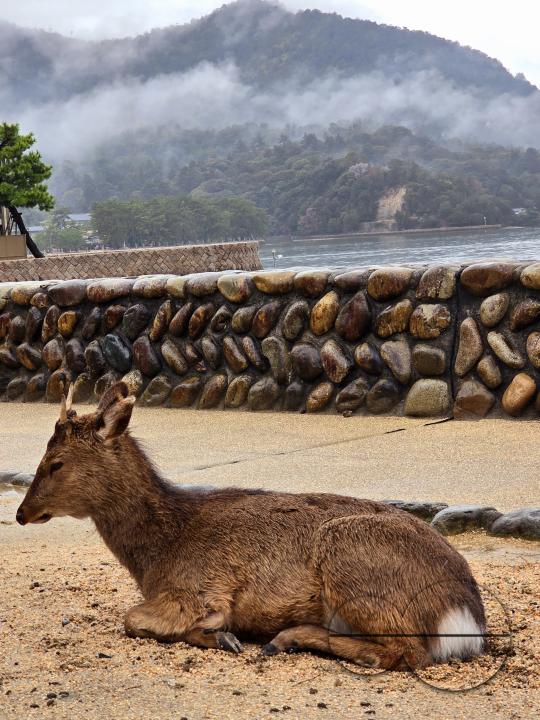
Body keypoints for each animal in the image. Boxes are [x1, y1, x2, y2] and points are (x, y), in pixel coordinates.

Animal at [16, 382, 486, 669]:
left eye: (55, 463)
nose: (21, 513)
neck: (157, 553)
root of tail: (466, 618)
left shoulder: (198, 589)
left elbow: (133, 619)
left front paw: (222, 637)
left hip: (353, 562)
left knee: (406, 652)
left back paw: (283, 638)